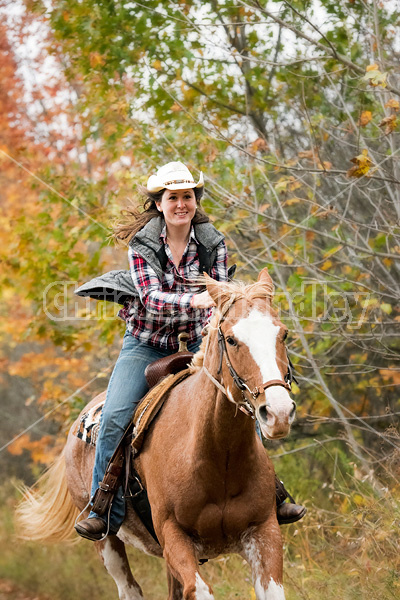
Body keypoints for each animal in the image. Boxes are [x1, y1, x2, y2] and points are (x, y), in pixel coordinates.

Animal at [16, 270, 296, 600]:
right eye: (231, 339)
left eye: (283, 334)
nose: (278, 412)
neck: (213, 455)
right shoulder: (174, 538)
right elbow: (200, 590)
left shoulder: (264, 533)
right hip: (107, 543)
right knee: (128, 587)